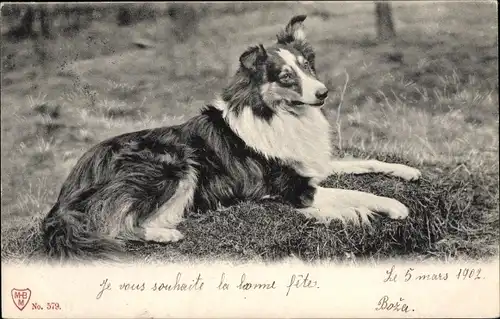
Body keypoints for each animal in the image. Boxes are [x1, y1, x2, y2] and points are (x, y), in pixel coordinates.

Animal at [42, 13, 422, 262]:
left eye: (306, 66)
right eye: (285, 77)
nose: (323, 93)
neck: (278, 116)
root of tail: (66, 191)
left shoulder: (313, 165)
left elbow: (366, 162)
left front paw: (407, 171)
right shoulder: (294, 189)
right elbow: (357, 193)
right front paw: (393, 205)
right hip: (172, 164)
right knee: (115, 225)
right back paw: (165, 233)